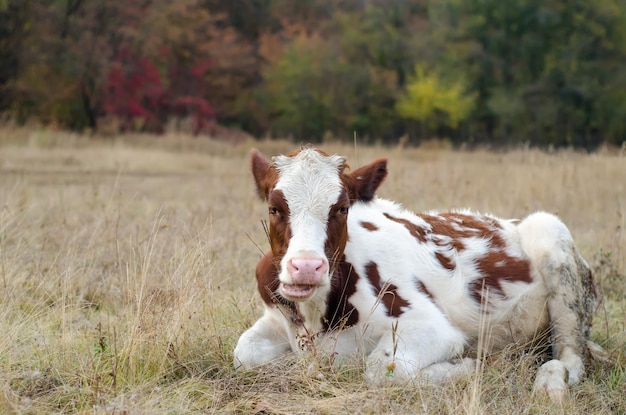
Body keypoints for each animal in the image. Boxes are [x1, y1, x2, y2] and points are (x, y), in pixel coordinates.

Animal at [233, 148, 596, 402]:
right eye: (274, 208)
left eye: (342, 209)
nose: (306, 267)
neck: (316, 317)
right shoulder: (275, 316)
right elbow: (243, 354)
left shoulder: (429, 326)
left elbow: (381, 369)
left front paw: (467, 366)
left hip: (553, 238)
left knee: (572, 358)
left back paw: (549, 382)